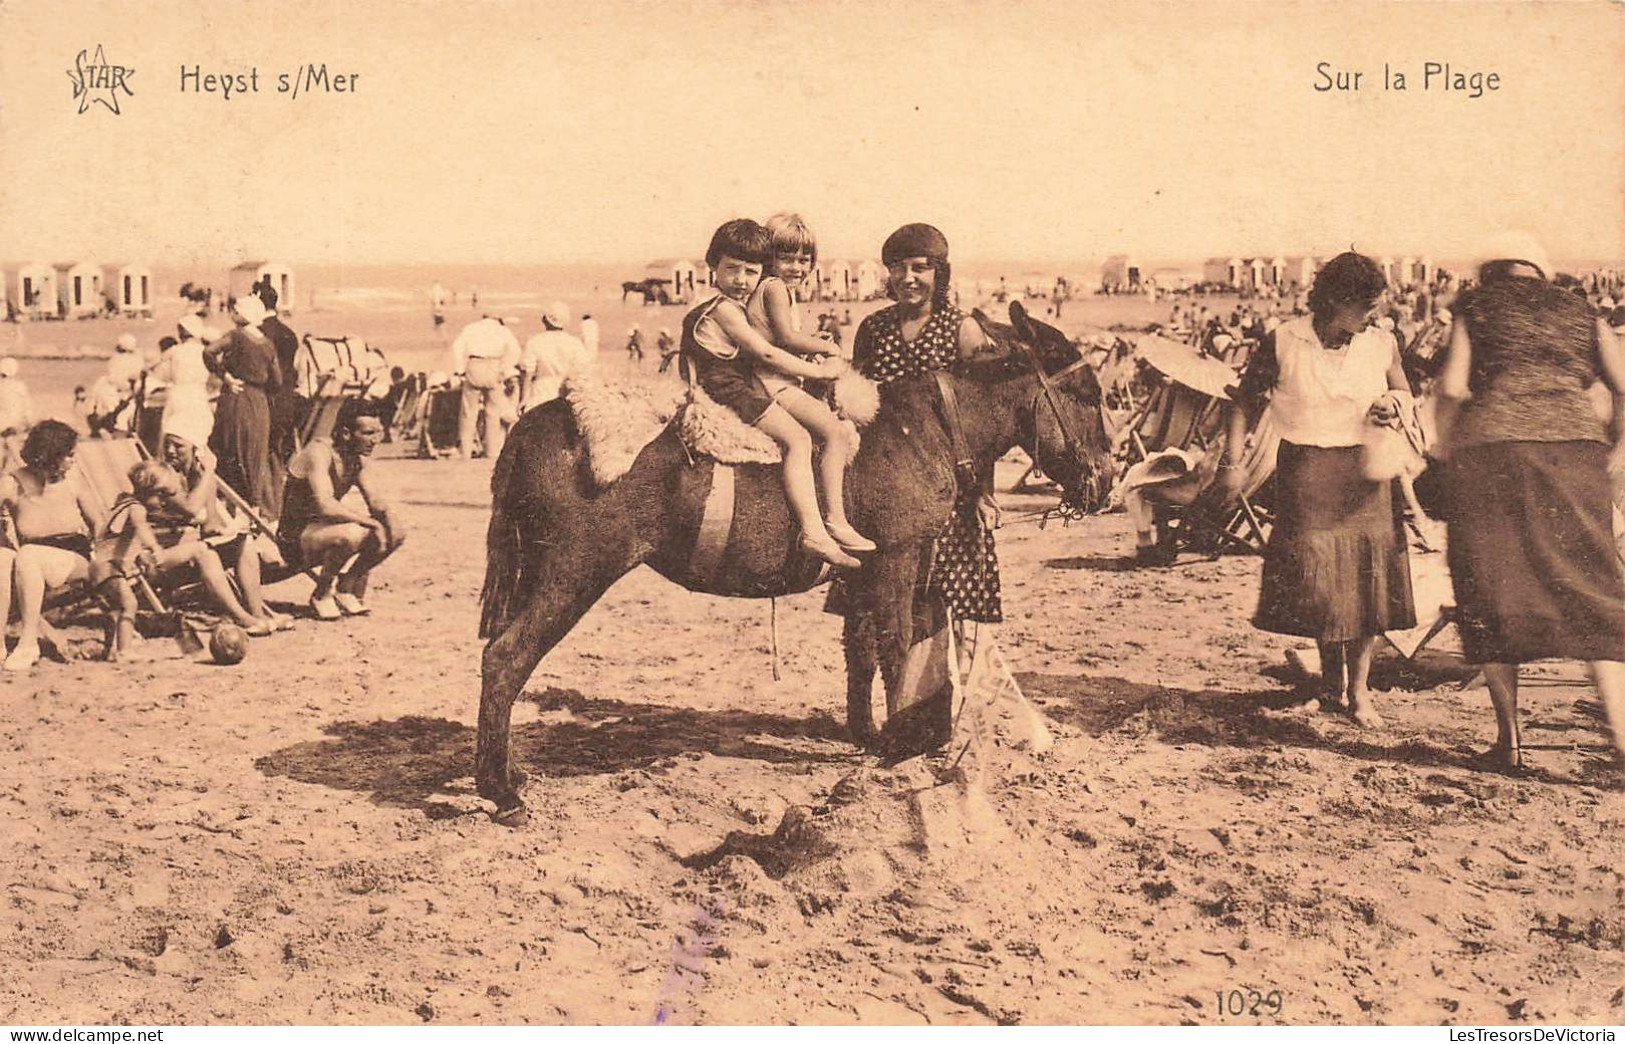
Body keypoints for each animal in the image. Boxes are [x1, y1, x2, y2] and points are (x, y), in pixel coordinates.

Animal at [474, 300, 1111, 819]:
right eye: (1090, 395)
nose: (1106, 481)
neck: (918, 429)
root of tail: (529, 427)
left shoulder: (868, 571)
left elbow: (862, 648)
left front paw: (869, 735)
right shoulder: (897, 557)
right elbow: (897, 645)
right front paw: (898, 749)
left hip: (537, 572)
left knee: (500, 657)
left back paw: (507, 774)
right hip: (573, 574)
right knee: (506, 659)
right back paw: (501, 794)